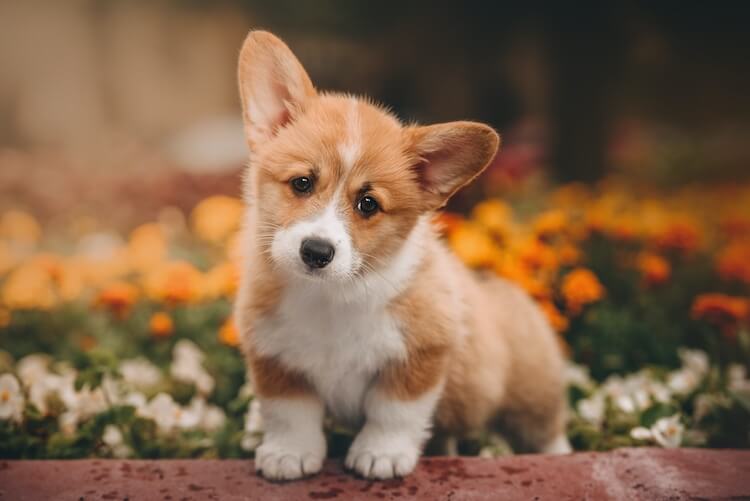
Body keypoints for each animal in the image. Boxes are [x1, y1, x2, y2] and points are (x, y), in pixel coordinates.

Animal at [235, 28, 568, 480]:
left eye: (368, 204)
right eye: (302, 183)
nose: (317, 251)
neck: (329, 298)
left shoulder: (421, 354)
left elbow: (393, 412)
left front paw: (381, 455)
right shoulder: (274, 357)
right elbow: (289, 413)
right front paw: (289, 454)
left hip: (531, 395)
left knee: (547, 433)